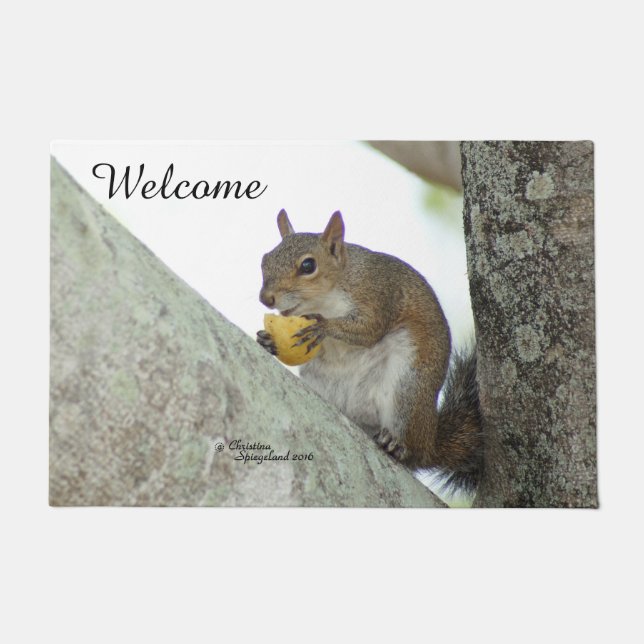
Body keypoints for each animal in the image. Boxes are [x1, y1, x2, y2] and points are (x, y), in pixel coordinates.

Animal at [256, 209, 483, 493]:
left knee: (412, 450)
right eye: (264, 260)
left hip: (408, 389)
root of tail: (430, 441)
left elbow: (369, 329)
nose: (266, 299)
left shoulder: (378, 295)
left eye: (308, 266)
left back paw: (397, 445)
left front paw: (323, 325)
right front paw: (269, 341)